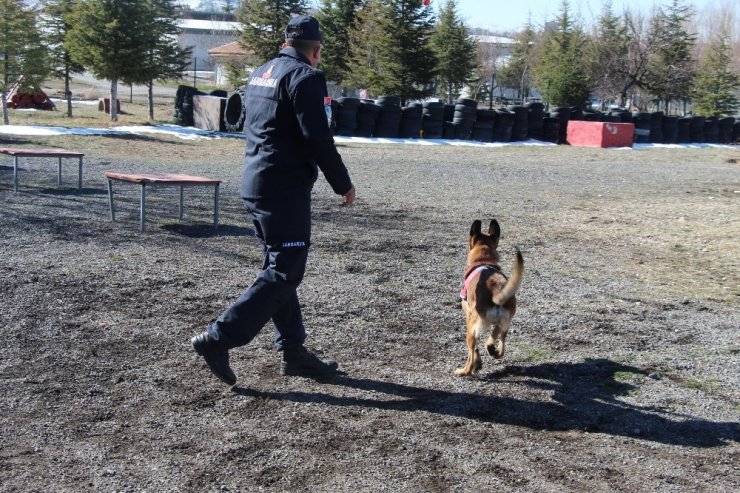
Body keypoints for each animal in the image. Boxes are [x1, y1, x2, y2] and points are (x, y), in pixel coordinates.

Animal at [454, 217, 524, 374]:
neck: (483, 259)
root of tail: (496, 289)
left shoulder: (469, 317)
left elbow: (474, 351)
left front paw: (476, 363)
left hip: (471, 328)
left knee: (472, 350)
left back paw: (464, 371)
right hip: (504, 323)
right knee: (500, 344)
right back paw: (493, 350)